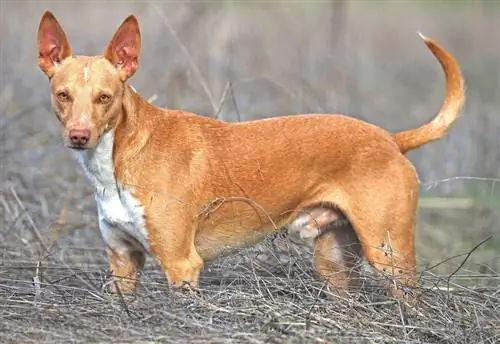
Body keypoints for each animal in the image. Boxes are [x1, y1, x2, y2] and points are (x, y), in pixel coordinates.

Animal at [36, 11, 464, 300]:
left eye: (104, 98)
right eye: (63, 95)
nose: (79, 136)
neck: (119, 156)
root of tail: (390, 138)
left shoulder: (181, 264)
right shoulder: (123, 263)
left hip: (390, 257)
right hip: (335, 263)